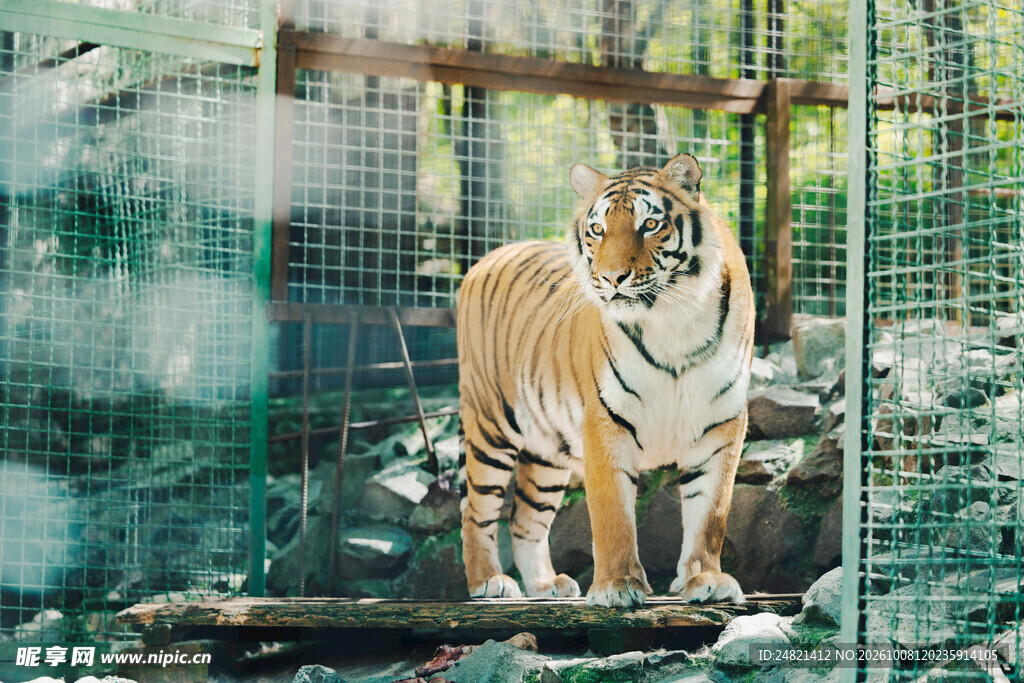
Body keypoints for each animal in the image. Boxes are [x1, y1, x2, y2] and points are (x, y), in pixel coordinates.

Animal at [456, 153, 754, 608]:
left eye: (650, 224)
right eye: (598, 229)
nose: (613, 278)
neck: (674, 321)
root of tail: (490, 256)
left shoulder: (721, 424)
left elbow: (711, 513)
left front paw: (707, 579)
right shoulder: (605, 420)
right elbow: (612, 513)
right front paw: (617, 586)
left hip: (546, 452)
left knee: (525, 519)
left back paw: (545, 585)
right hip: (491, 425)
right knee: (475, 511)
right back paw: (489, 582)